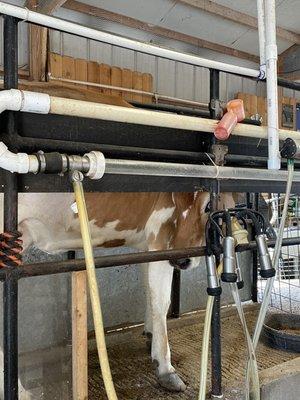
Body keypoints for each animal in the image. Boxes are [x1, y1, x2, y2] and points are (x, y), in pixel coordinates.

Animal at [0, 191, 236, 396]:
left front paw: (150, 334)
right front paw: (165, 369)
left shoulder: (146, 244)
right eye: (206, 205)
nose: (181, 260)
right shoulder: (160, 236)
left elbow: (149, 290)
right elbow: (161, 301)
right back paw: (21, 392)